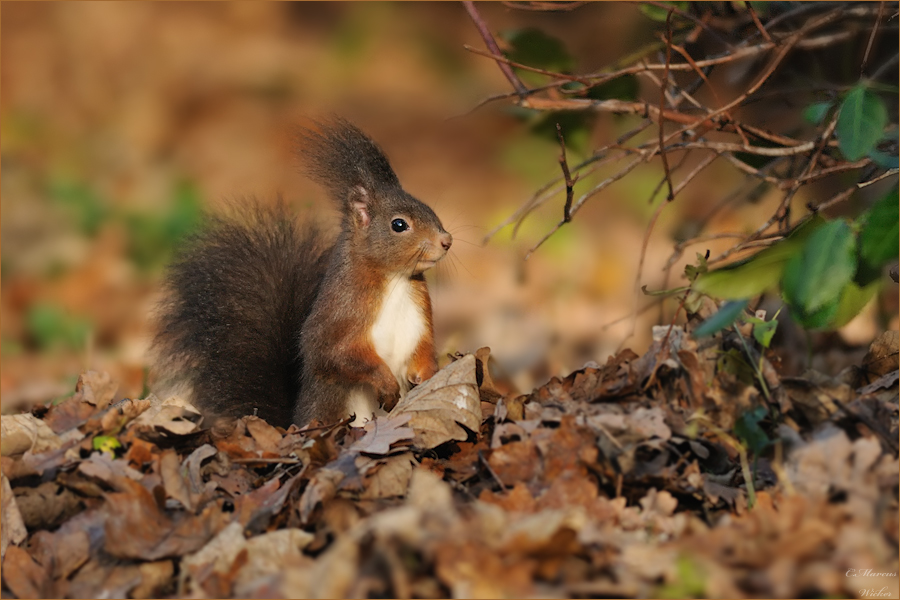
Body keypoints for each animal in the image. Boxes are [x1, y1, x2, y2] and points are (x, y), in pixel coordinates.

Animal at [153, 119, 458, 426]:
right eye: (399, 224)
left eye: (428, 208)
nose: (446, 240)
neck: (394, 279)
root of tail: (292, 422)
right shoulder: (342, 312)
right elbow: (336, 354)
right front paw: (386, 383)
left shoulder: (420, 317)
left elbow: (424, 350)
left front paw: (431, 375)